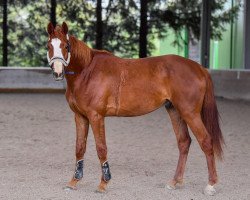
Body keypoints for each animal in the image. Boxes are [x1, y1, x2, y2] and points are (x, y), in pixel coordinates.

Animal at [47, 22, 225, 195]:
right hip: (175, 110)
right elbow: (79, 148)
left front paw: (103, 183)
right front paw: (73, 182)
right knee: (184, 142)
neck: (87, 71)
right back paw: (175, 182)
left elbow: (101, 148)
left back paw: (211, 185)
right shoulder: (80, 116)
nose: (58, 72)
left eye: (66, 46)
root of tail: (200, 68)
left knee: (206, 141)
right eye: (49, 45)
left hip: (190, 113)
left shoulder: (96, 116)